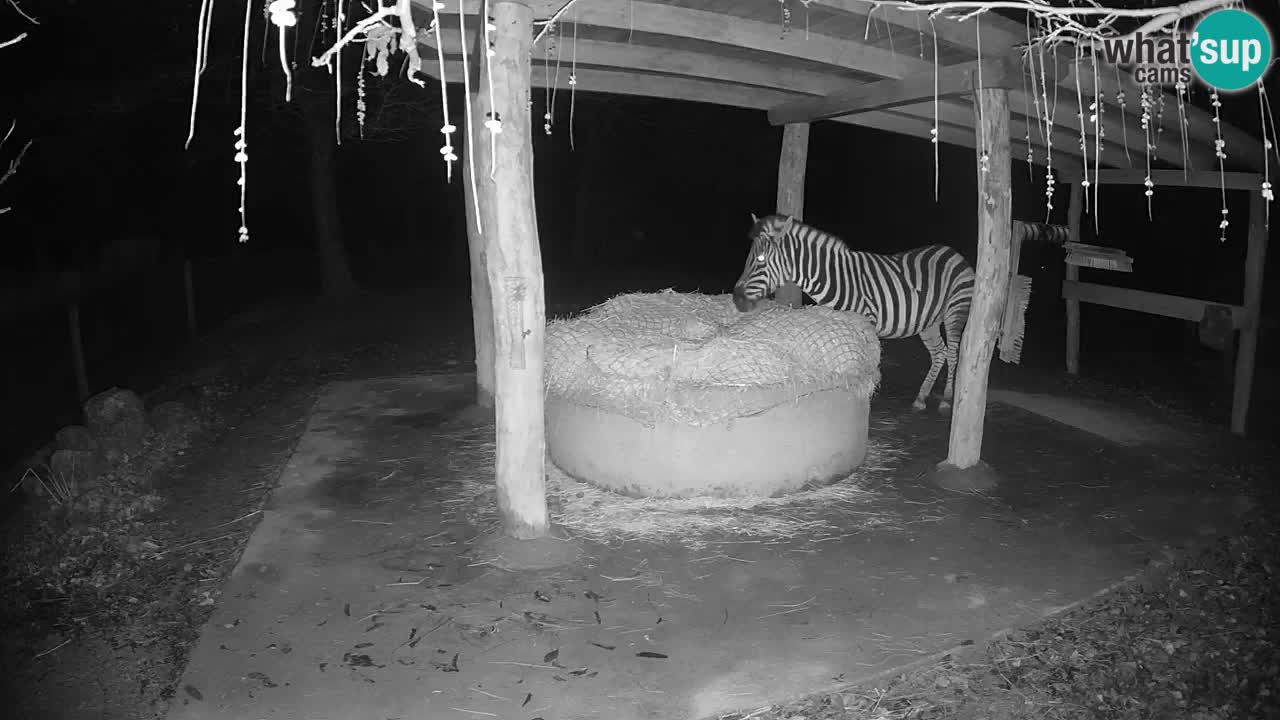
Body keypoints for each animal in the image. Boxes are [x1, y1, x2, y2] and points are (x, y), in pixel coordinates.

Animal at [732, 212, 1070, 412]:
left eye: (759, 259)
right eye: (749, 257)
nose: (736, 300)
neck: (835, 277)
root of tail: (953, 252)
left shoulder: (864, 322)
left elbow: (866, 367)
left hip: (955, 311)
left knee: (954, 352)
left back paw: (947, 399)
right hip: (929, 321)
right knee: (939, 353)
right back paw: (921, 397)